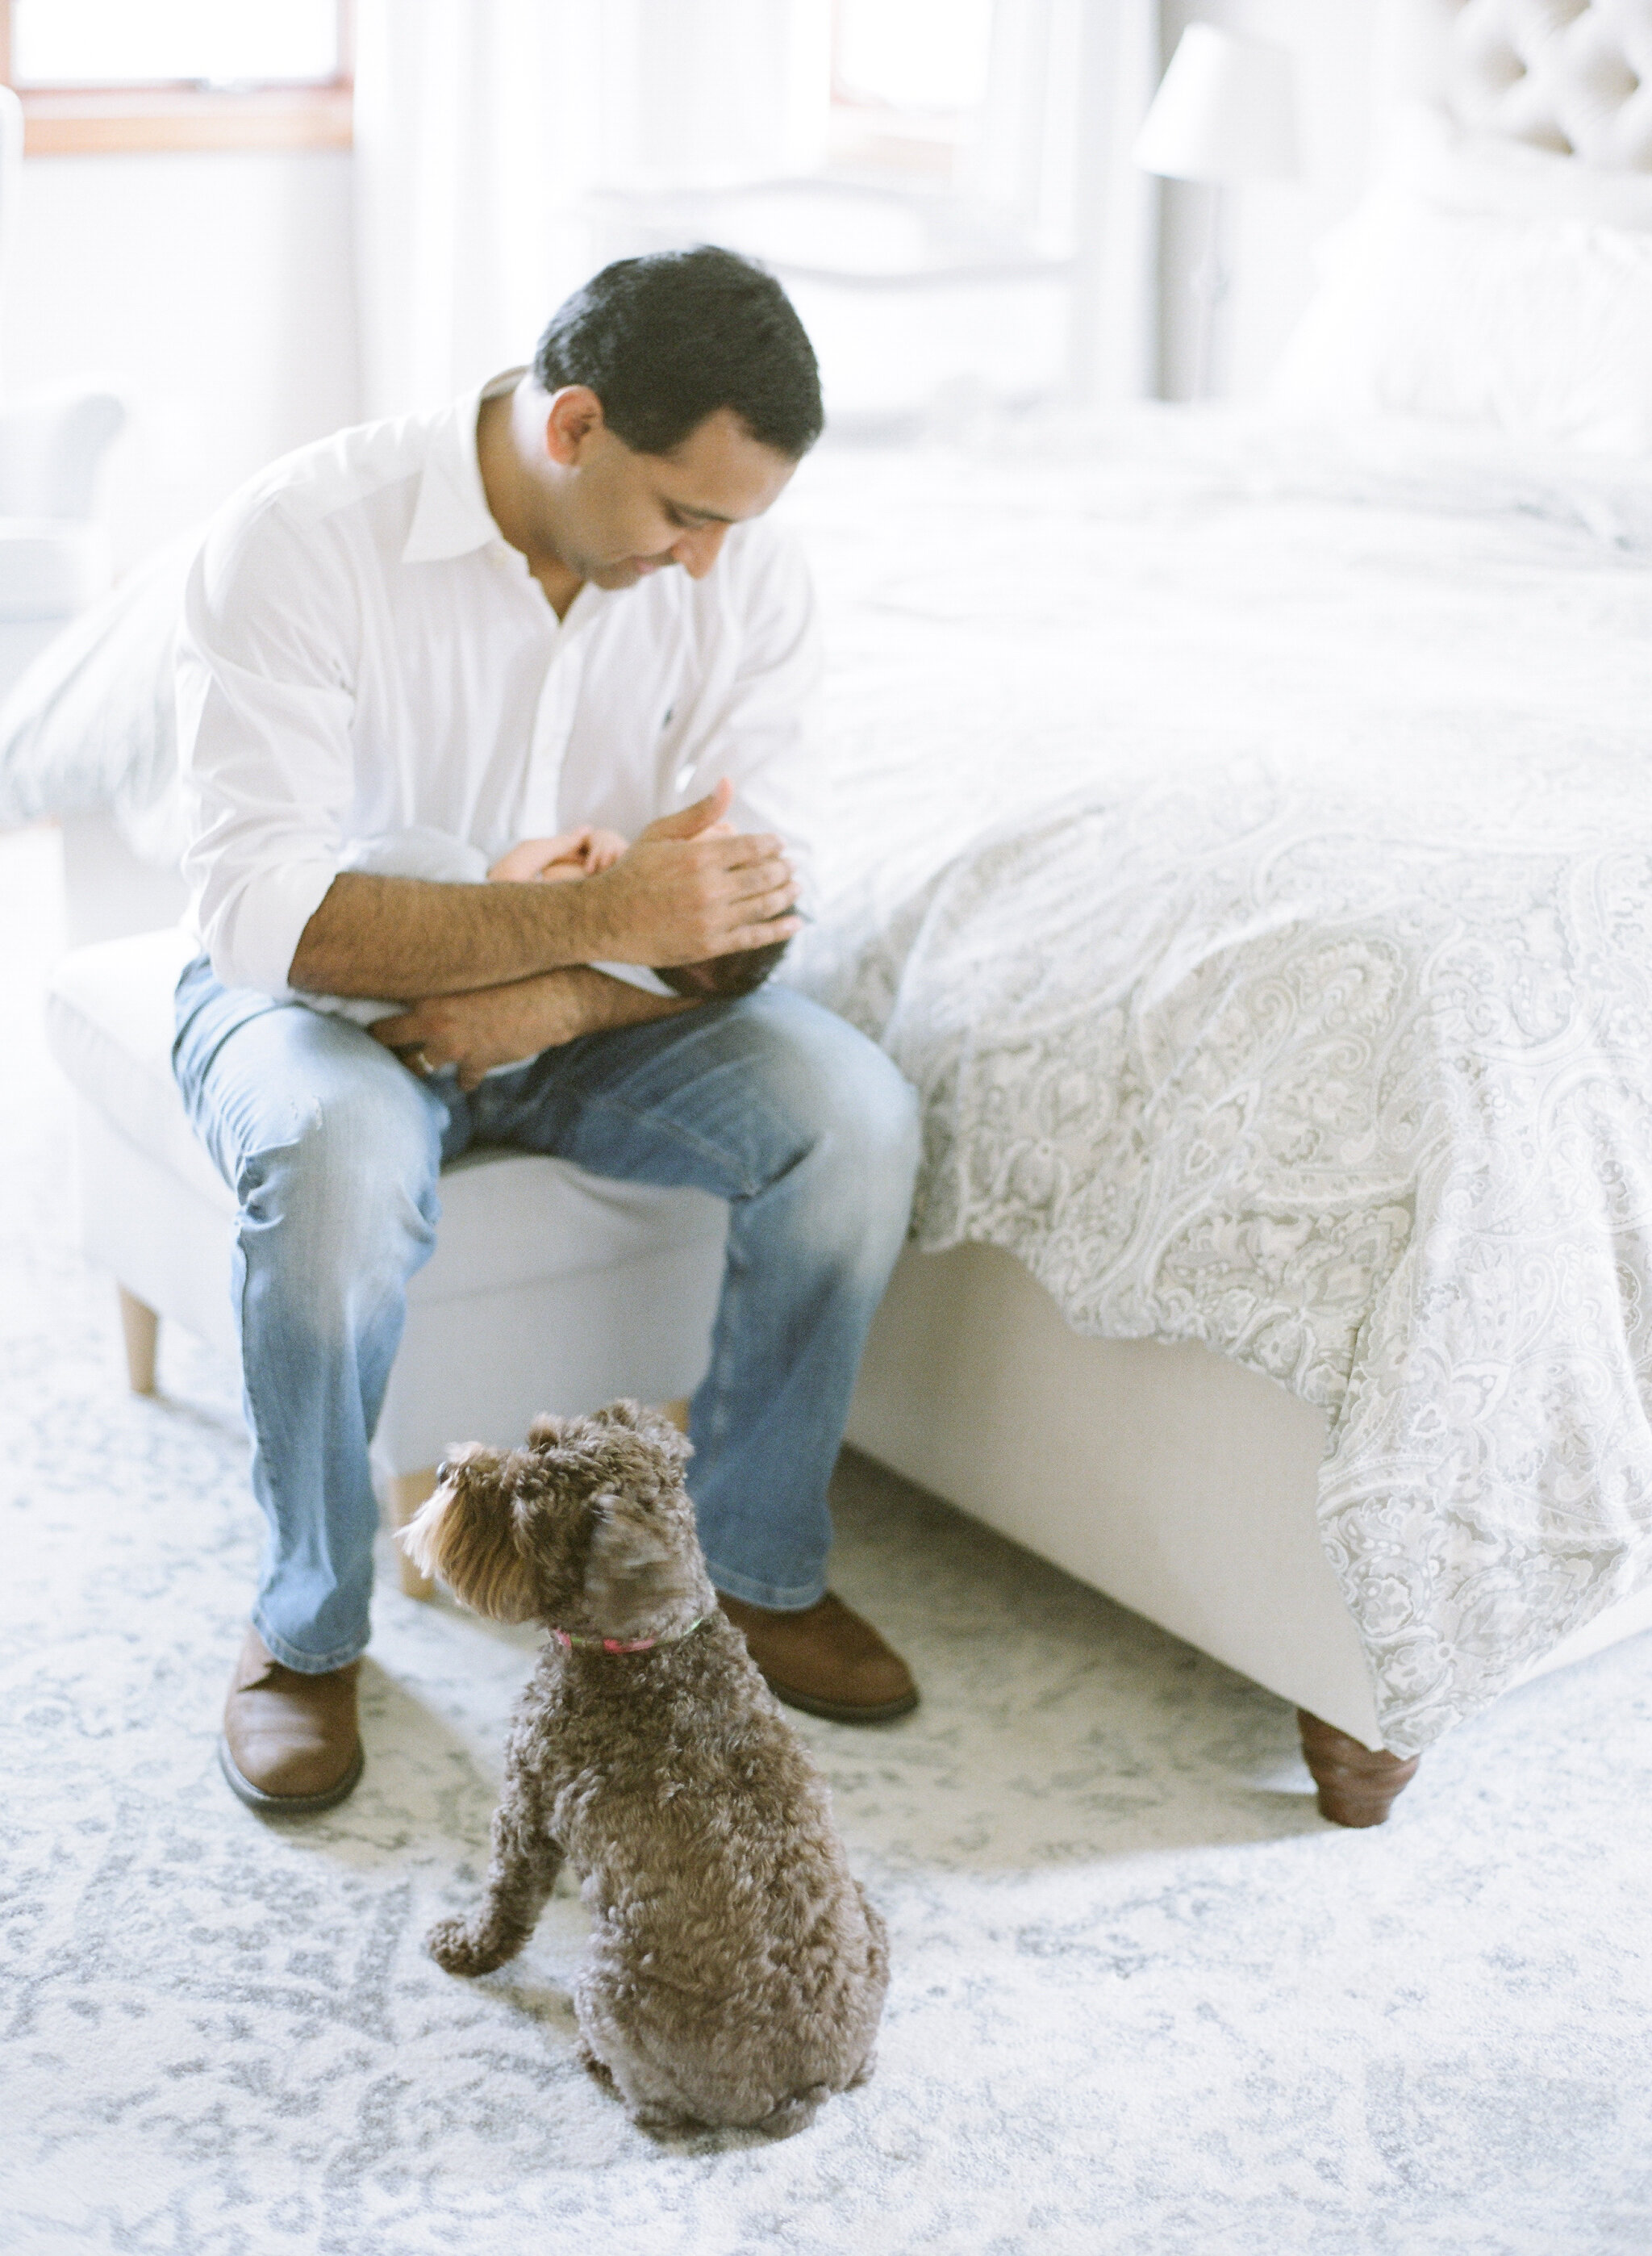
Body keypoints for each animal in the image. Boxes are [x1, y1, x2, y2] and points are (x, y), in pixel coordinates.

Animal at [399, 1389, 889, 2129]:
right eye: (536, 1440)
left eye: (527, 1500)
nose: (442, 1470)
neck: (650, 1645)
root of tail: (806, 2089)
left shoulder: (526, 1809)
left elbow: (504, 1899)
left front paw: (464, 1946)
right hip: (871, 1918)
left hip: (607, 1988)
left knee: (655, 2108)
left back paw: (599, 2065)